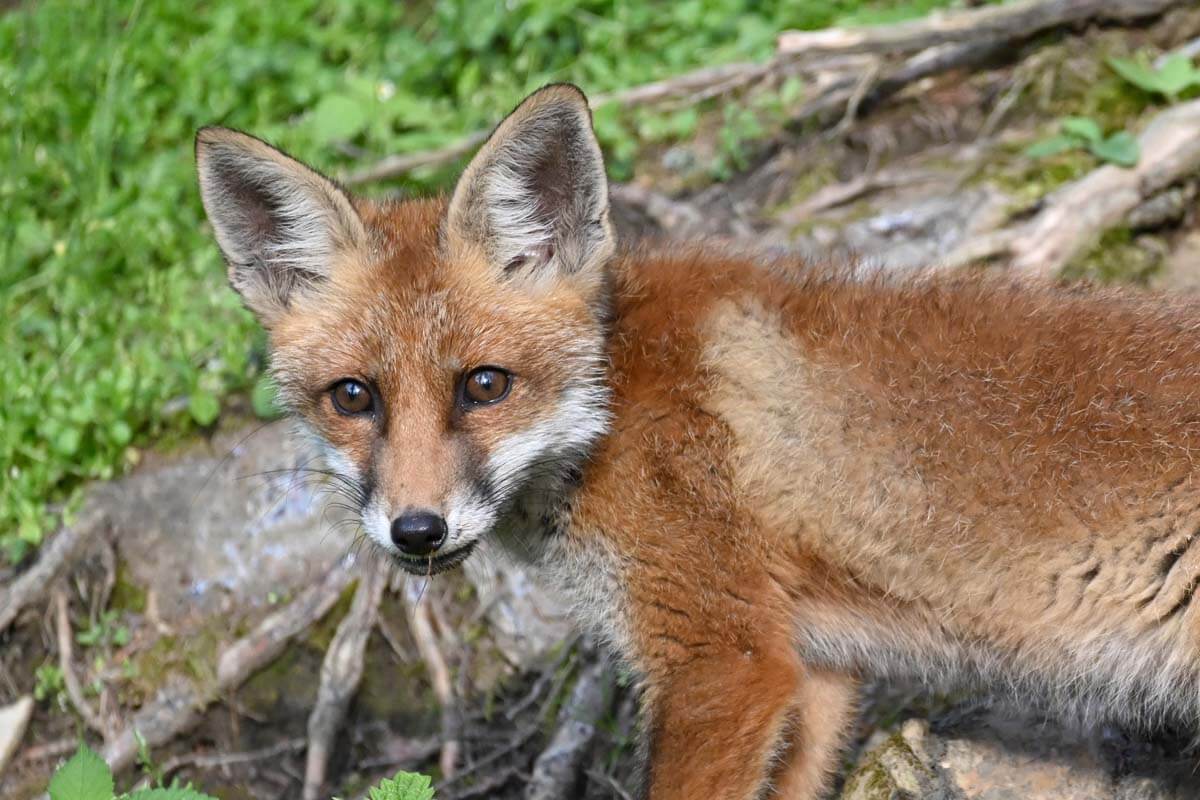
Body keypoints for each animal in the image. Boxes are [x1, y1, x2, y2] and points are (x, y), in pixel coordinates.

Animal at [195, 83, 1200, 799]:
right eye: (353, 397)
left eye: (485, 385)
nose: (416, 531)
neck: (611, 411)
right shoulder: (813, 669)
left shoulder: (726, 664)